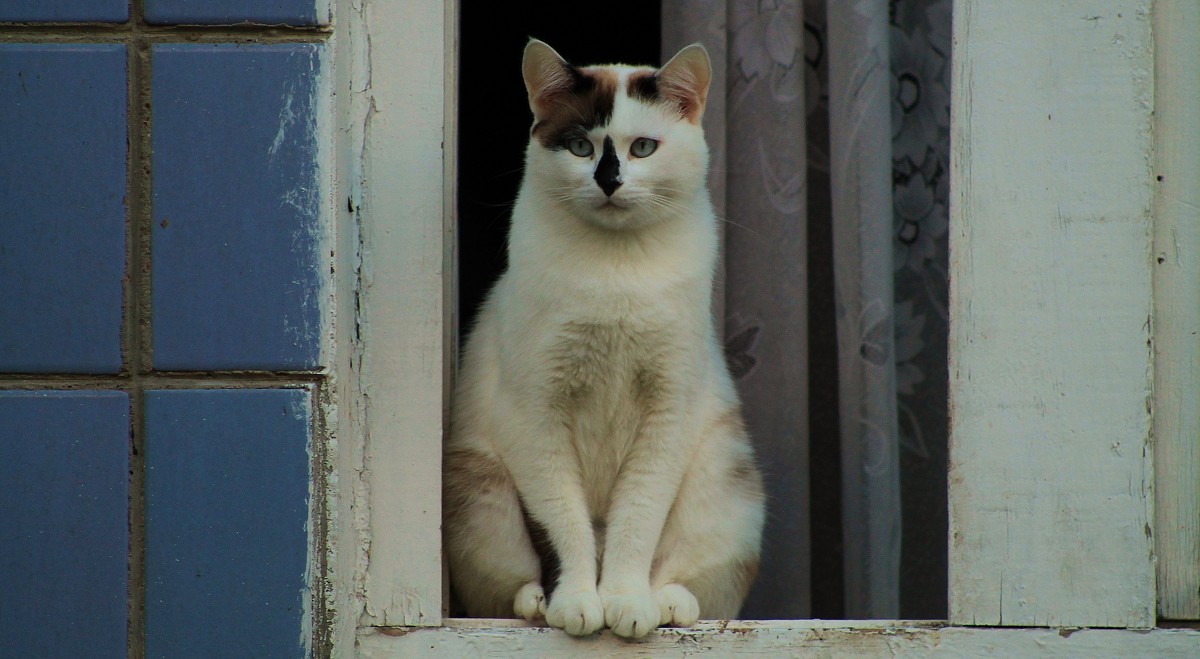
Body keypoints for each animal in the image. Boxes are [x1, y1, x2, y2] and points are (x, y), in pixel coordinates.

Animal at [444, 37, 768, 638]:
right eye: (579, 146)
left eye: (642, 147)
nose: (608, 179)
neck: (615, 273)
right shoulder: (536, 415)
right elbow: (562, 524)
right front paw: (576, 602)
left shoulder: (666, 412)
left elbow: (637, 519)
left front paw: (627, 603)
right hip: (480, 494)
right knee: (507, 584)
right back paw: (536, 601)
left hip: (724, 479)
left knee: (693, 579)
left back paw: (667, 602)